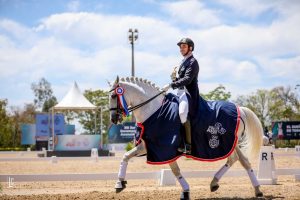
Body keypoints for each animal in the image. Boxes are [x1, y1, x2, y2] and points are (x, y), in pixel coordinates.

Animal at [108, 76, 262, 199]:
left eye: (114, 96)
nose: (113, 119)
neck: (154, 110)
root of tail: (240, 109)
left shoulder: (164, 148)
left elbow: (175, 170)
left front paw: (186, 191)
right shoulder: (148, 147)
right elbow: (126, 157)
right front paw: (120, 183)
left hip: (228, 142)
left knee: (241, 161)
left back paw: (255, 189)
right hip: (231, 144)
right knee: (237, 160)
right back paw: (219, 183)